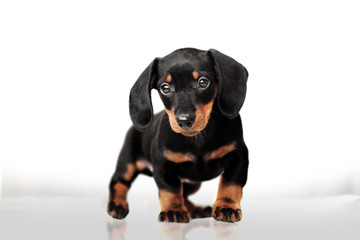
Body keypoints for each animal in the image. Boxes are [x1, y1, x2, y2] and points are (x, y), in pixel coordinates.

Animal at [105, 48, 249, 223]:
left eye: (203, 82)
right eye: (165, 87)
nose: (184, 120)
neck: (198, 139)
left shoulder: (238, 156)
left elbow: (230, 184)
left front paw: (226, 206)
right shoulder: (162, 164)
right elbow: (170, 190)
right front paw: (173, 211)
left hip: (191, 182)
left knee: (185, 195)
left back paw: (196, 210)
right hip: (127, 163)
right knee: (118, 183)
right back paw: (117, 205)